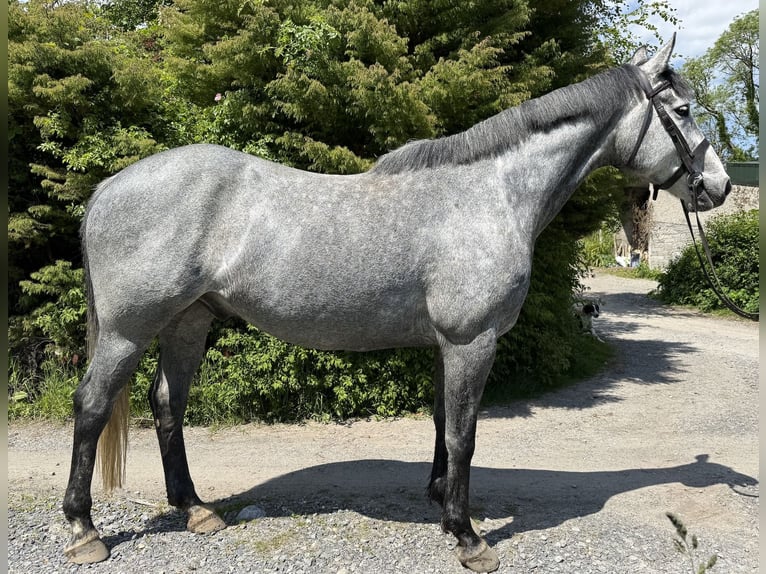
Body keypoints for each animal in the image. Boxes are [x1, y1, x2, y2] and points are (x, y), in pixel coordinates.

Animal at [63, 35, 731, 572]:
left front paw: (441, 502)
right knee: (92, 407)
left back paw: (195, 510)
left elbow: (442, 424)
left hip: (187, 322)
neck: (491, 194)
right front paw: (468, 538)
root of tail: (110, 186)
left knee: (167, 405)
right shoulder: (471, 342)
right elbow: (464, 434)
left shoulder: (446, 345)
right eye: (684, 109)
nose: (720, 187)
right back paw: (84, 530)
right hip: (128, 330)